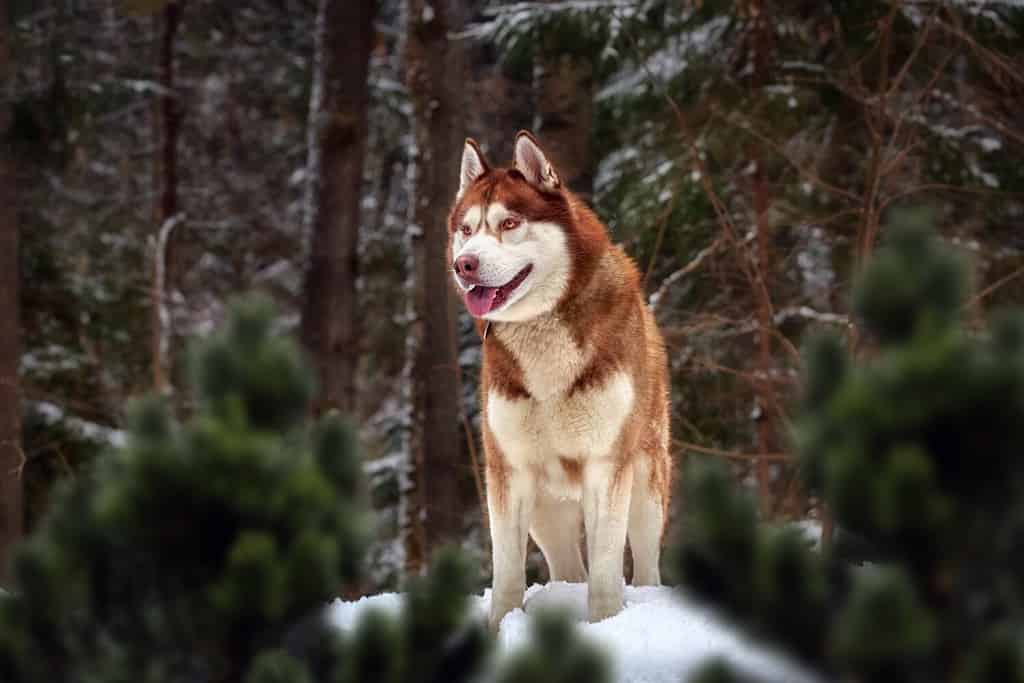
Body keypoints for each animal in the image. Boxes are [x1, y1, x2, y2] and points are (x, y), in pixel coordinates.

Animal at [448, 132, 671, 630]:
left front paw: (604, 626)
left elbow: (606, 577)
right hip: (546, 515)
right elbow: (507, 576)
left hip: (646, 490)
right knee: (569, 568)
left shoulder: (606, 466)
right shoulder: (507, 471)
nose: (464, 264)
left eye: (509, 223)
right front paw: (500, 630)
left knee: (646, 564)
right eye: (467, 229)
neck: (543, 330)